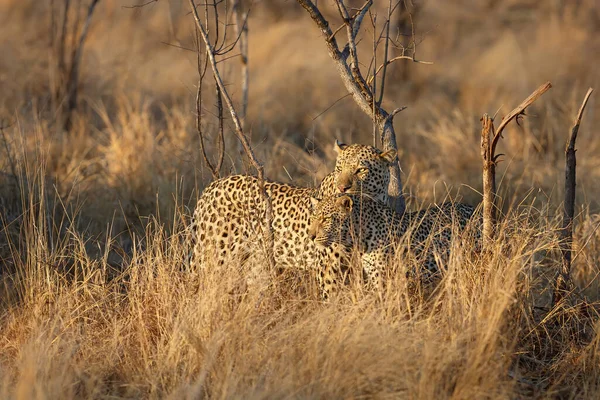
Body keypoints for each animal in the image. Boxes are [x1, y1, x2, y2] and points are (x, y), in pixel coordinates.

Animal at [190, 141, 400, 296]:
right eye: (339, 168)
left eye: (361, 170)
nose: (343, 187)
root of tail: (213, 186)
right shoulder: (329, 269)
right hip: (216, 257)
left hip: (255, 262)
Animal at [310, 194, 478, 296]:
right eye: (314, 218)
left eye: (326, 219)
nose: (311, 237)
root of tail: (474, 208)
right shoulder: (375, 274)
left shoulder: (384, 278)